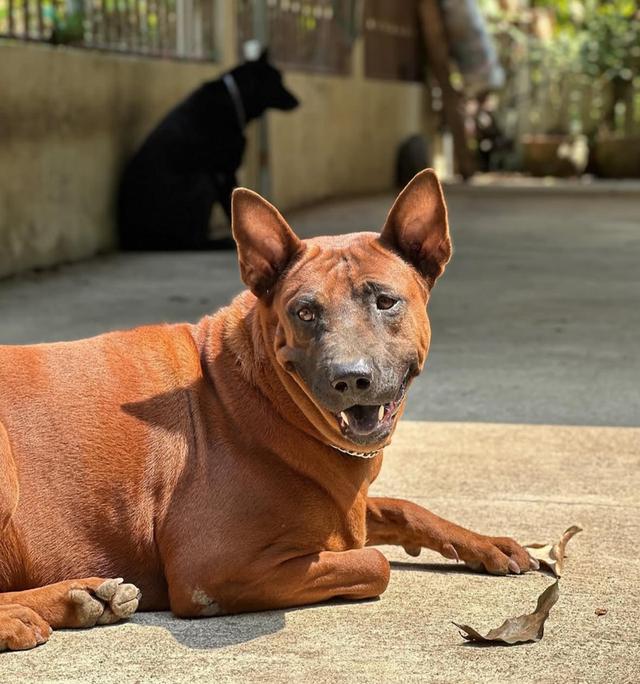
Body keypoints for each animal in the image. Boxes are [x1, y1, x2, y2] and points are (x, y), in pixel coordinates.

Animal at [0, 171, 536, 652]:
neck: (261, 394)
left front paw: (484, 543)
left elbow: (401, 507)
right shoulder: (211, 571)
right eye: (305, 312)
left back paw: (83, 596)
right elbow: (371, 561)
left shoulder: (349, 504)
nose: (351, 378)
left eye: (386, 301)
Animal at [119, 50, 298, 251]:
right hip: (202, 181)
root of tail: (132, 241)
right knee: (192, 242)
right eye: (278, 80)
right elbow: (232, 209)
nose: (298, 101)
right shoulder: (224, 173)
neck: (233, 98)